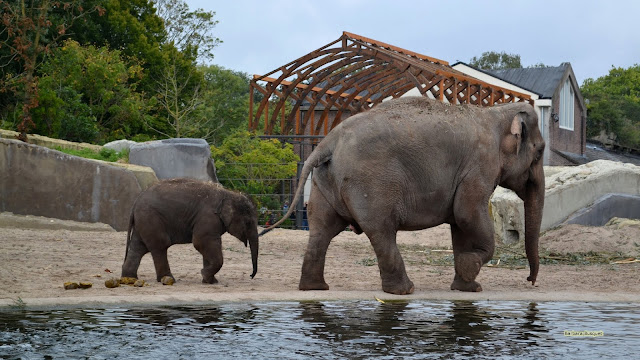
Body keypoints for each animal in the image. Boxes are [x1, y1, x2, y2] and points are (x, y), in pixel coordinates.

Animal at [121, 179, 258, 286]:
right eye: (248, 223)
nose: (250, 275)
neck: (229, 194)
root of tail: (135, 203)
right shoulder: (208, 217)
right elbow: (200, 241)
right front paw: (205, 275)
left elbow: (205, 245)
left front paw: (210, 281)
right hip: (151, 219)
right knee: (160, 246)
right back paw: (168, 279)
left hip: (143, 222)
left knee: (138, 247)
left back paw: (129, 278)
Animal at [264, 96, 544, 296]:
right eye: (540, 151)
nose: (530, 281)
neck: (496, 113)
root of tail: (327, 141)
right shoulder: (478, 167)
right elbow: (467, 214)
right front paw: (469, 269)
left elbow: (460, 225)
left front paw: (467, 287)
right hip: (371, 185)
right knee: (382, 230)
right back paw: (404, 290)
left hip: (325, 182)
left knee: (321, 230)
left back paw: (315, 288)